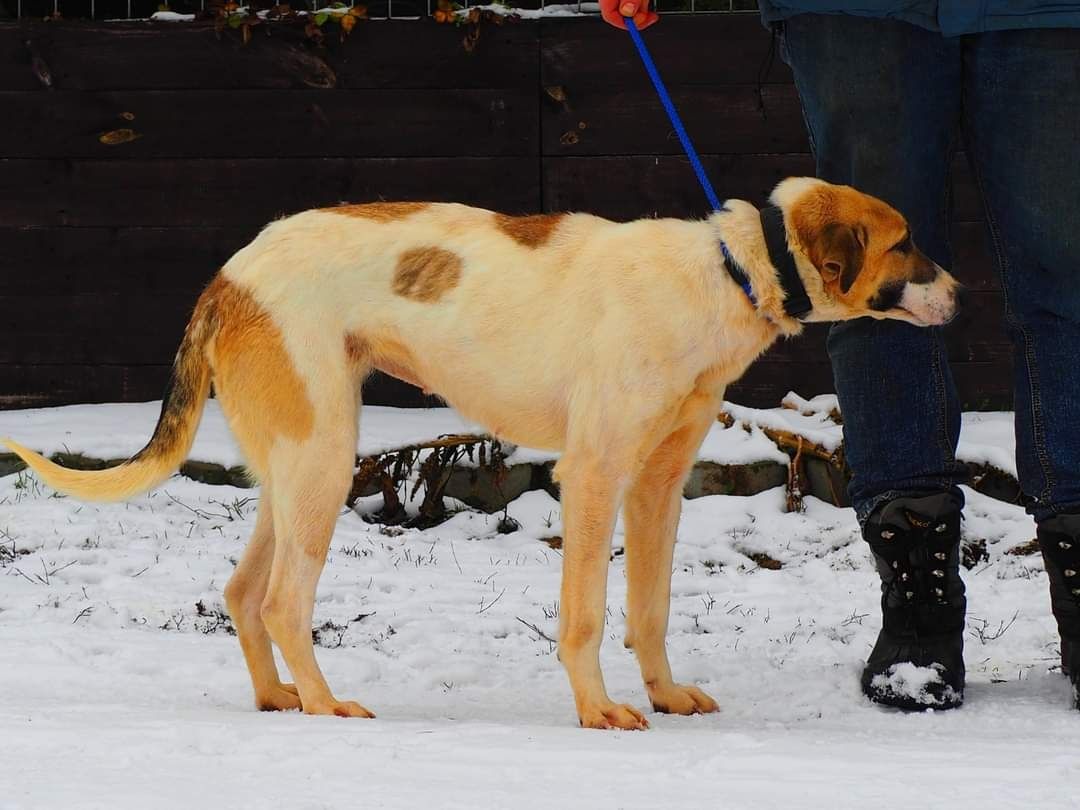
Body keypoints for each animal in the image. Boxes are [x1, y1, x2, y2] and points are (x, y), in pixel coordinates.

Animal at [2, 180, 963, 734]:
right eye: (905, 241)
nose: (960, 297)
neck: (722, 272)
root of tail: (227, 275)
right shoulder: (595, 475)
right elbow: (587, 616)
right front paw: (597, 708)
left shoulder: (659, 487)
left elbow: (649, 611)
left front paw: (663, 693)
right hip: (324, 462)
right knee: (279, 601)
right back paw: (323, 703)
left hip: (297, 466)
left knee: (243, 593)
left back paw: (280, 700)